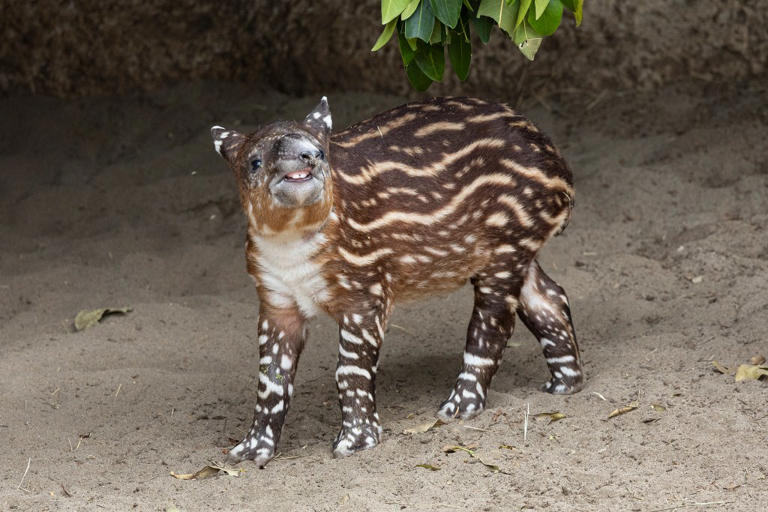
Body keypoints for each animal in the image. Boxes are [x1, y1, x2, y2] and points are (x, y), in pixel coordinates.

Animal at [210, 97, 584, 468]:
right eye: (255, 161)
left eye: (321, 151)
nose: (308, 156)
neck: (292, 239)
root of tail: (555, 159)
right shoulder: (276, 299)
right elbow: (271, 379)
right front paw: (250, 451)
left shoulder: (365, 291)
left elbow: (350, 370)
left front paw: (356, 442)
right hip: (510, 249)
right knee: (549, 298)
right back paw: (565, 385)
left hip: (506, 241)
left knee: (492, 323)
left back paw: (458, 406)